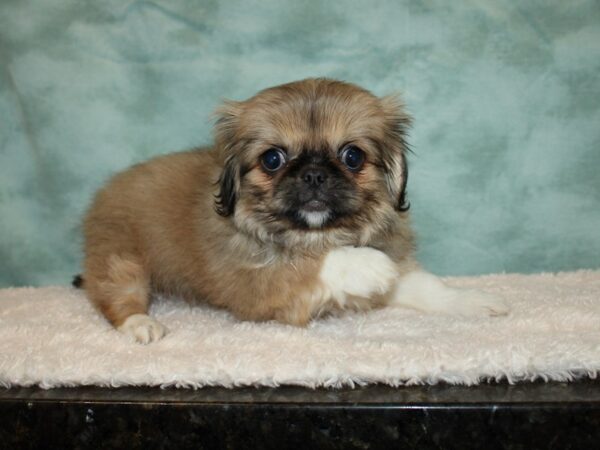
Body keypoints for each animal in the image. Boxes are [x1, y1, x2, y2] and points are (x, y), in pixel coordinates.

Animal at [74, 79, 506, 342]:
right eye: (272, 159)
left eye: (352, 156)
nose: (314, 174)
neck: (318, 233)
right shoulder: (255, 284)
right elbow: (313, 265)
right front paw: (366, 263)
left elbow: (426, 287)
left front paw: (471, 301)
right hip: (121, 258)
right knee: (116, 295)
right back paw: (140, 323)